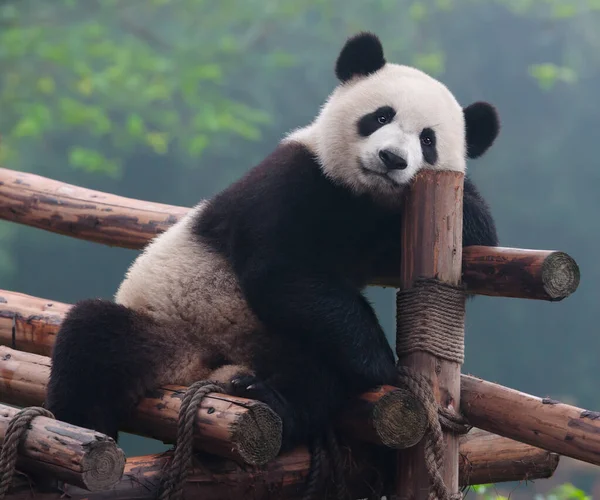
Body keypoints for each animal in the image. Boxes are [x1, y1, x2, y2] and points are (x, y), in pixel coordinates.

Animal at [45, 31, 496, 454]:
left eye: (427, 140)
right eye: (381, 115)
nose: (393, 159)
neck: (360, 194)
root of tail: (202, 369)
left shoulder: (385, 225)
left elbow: (480, 232)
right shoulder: (290, 181)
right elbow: (280, 272)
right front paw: (382, 365)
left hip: (277, 343)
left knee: (317, 378)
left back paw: (268, 397)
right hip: (168, 328)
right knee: (93, 343)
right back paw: (81, 434)